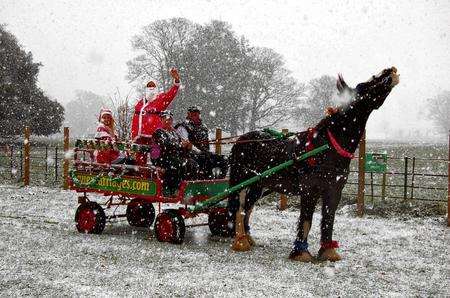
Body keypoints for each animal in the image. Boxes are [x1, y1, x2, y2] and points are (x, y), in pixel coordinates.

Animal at [227, 67, 400, 260]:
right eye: (363, 86)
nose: (390, 70)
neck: (325, 146)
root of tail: (240, 141)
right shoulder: (310, 190)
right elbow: (306, 220)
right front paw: (301, 253)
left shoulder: (334, 191)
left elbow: (328, 219)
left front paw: (328, 252)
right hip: (240, 182)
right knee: (239, 209)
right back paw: (241, 242)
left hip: (258, 185)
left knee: (247, 208)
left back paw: (248, 239)